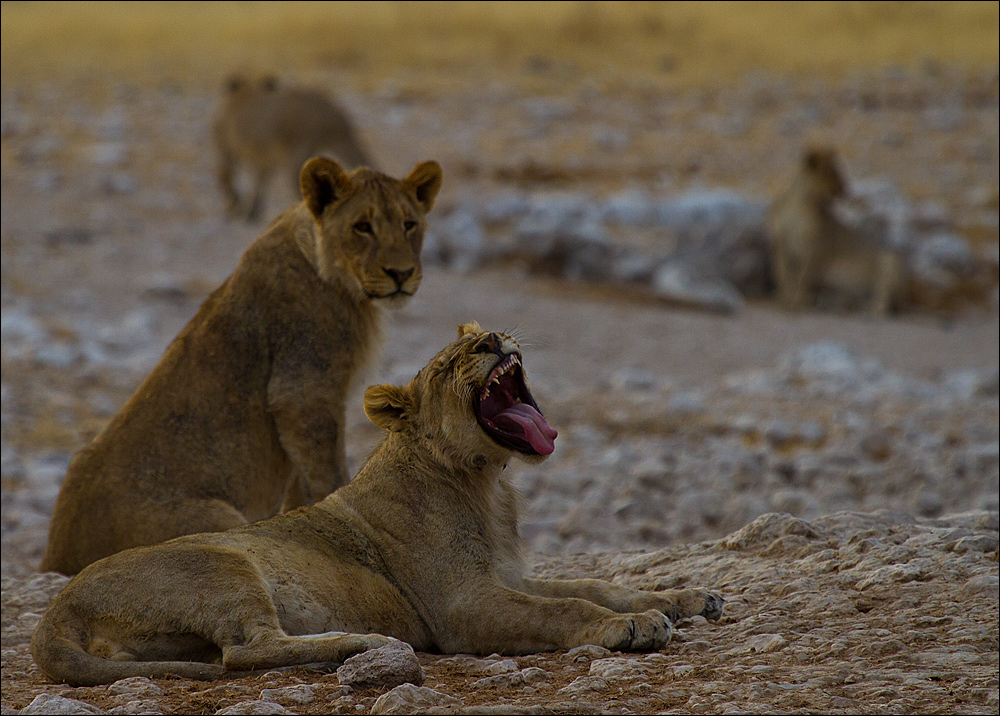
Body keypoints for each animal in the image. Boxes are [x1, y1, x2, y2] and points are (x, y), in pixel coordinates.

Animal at [29, 324, 720, 688]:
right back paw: (357, 643)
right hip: (222, 563)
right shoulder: (462, 607)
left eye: (482, 336)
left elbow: (598, 585)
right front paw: (631, 627)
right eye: (449, 365)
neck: (486, 485)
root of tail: (55, 611)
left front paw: (682, 598)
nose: (494, 340)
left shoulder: (508, 575)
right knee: (246, 650)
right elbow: (566, 609)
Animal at [39, 155, 444, 576]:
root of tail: (55, 557)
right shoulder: (304, 390)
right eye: (362, 227)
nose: (401, 273)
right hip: (216, 517)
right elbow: (329, 475)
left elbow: (302, 486)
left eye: (409, 224)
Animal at [214, 75, 376, 221]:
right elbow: (259, 182)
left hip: (296, 155)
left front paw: (239, 208)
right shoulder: (264, 158)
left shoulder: (227, 147)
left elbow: (228, 175)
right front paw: (250, 211)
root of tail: (331, 114)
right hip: (340, 143)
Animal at [764, 145, 908, 314]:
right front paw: (782, 298)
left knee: (885, 299)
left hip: (890, 262)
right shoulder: (780, 245)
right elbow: (780, 274)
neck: (799, 206)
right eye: (830, 171)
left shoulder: (817, 250)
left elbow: (804, 278)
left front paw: (796, 301)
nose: (847, 189)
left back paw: (871, 310)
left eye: (839, 169)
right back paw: (834, 303)